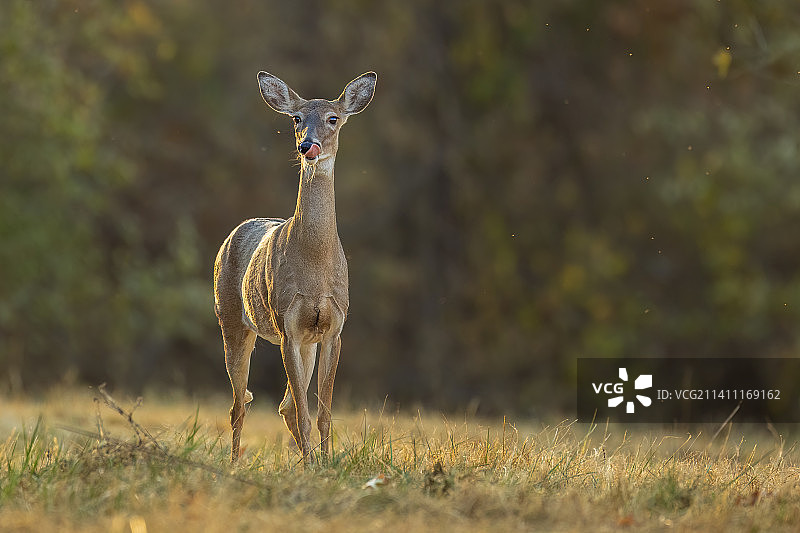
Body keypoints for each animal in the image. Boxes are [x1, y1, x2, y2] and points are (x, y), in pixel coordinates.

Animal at [213, 71, 377, 463]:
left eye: (333, 118)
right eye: (296, 119)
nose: (307, 146)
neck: (315, 267)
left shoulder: (332, 328)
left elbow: (322, 413)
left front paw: (326, 463)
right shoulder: (287, 323)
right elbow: (304, 410)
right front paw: (315, 463)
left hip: (305, 342)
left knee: (282, 404)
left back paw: (307, 459)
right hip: (232, 320)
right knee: (239, 404)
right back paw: (235, 462)